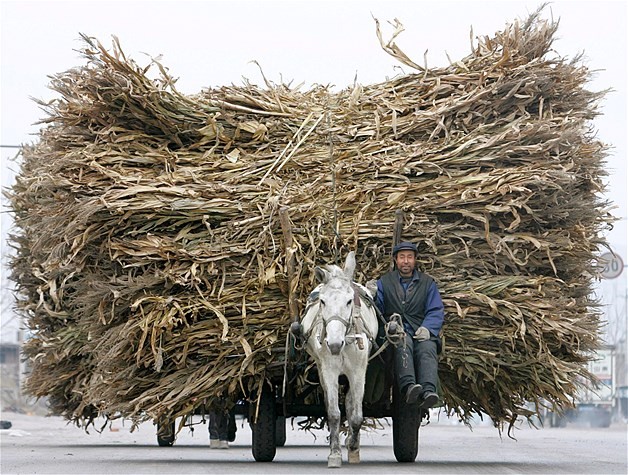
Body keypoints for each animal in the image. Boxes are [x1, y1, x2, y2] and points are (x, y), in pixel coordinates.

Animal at [298, 253, 378, 468]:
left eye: (349, 301)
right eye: (323, 302)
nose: (334, 344)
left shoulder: (358, 372)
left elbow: (357, 416)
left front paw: (353, 448)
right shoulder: (329, 370)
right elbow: (333, 413)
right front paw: (334, 454)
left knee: (350, 403)